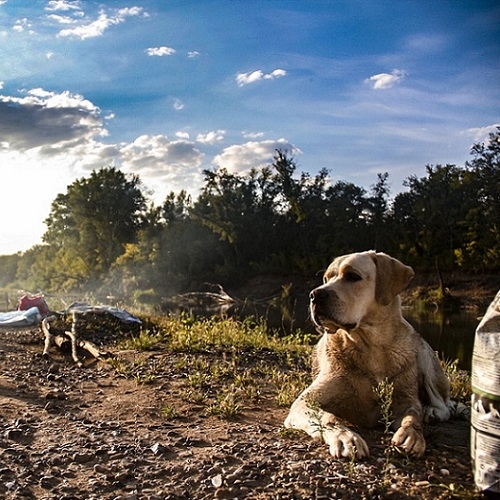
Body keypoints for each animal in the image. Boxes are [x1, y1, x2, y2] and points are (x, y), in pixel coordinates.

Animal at [286, 252, 454, 458]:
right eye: (326, 278)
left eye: (352, 276)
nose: (315, 295)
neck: (371, 346)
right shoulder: (305, 402)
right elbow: (328, 417)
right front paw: (345, 437)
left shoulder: (405, 400)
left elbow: (412, 416)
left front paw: (412, 434)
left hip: (425, 357)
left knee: (444, 405)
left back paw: (431, 412)